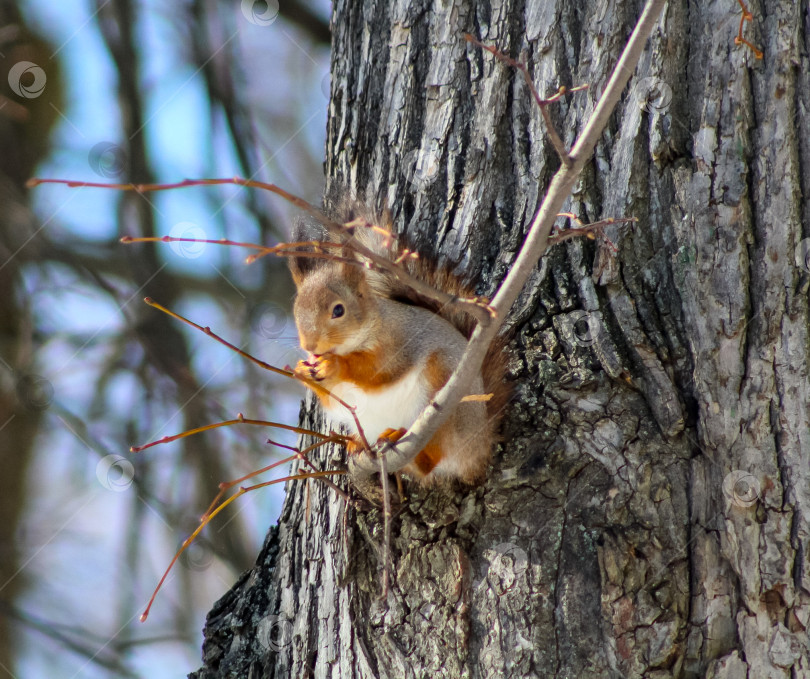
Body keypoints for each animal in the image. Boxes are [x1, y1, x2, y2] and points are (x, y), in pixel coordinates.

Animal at [288, 199, 504, 486]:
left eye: (338, 310)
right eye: (296, 310)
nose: (310, 347)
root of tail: (479, 445)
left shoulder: (399, 341)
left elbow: (380, 371)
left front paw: (336, 365)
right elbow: (333, 397)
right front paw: (303, 371)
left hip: (446, 393)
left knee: (434, 456)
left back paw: (407, 448)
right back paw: (362, 443)